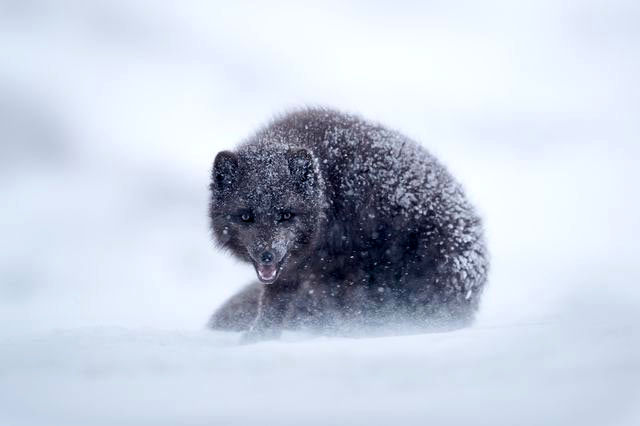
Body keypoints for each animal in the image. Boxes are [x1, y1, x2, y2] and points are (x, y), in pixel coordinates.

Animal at [208, 108, 488, 342]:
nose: (267, 254)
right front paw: (259, 339)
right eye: (246, 216)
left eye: (286, 215)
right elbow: (273, 304)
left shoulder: (349, 265)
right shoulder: (291, 273)